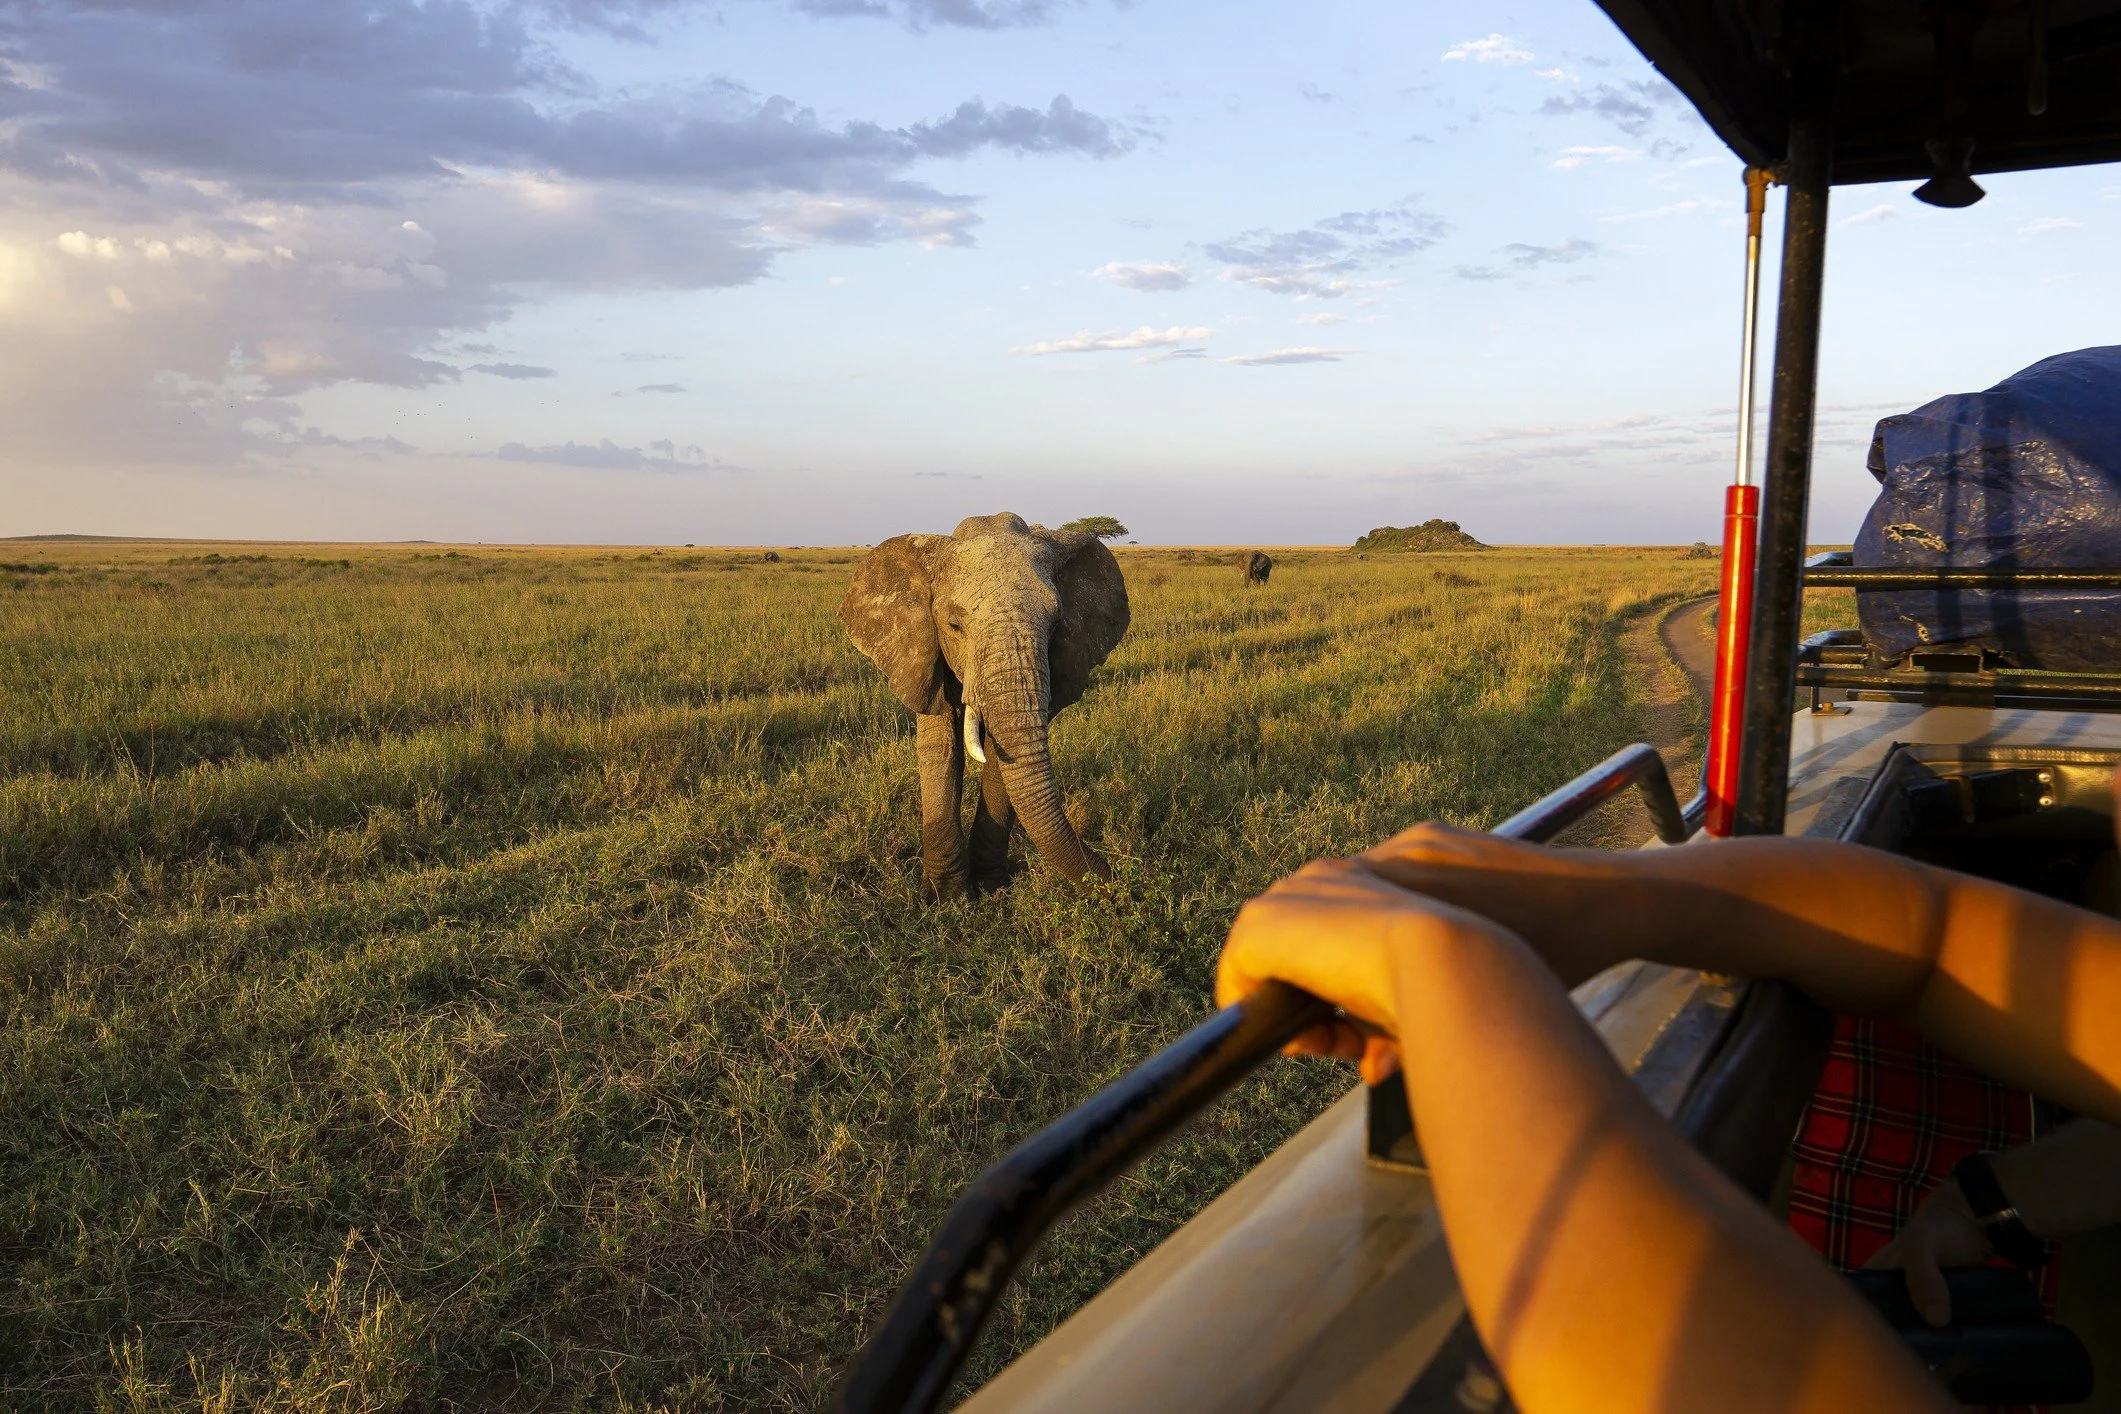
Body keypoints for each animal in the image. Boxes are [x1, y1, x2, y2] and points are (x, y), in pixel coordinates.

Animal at [841, 512, 1130, 899]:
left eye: (1057, 624)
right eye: (954, 625)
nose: (1120, 882)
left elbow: (1000, 754)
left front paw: (989, 885)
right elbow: (941, 746)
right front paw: (945, 897)